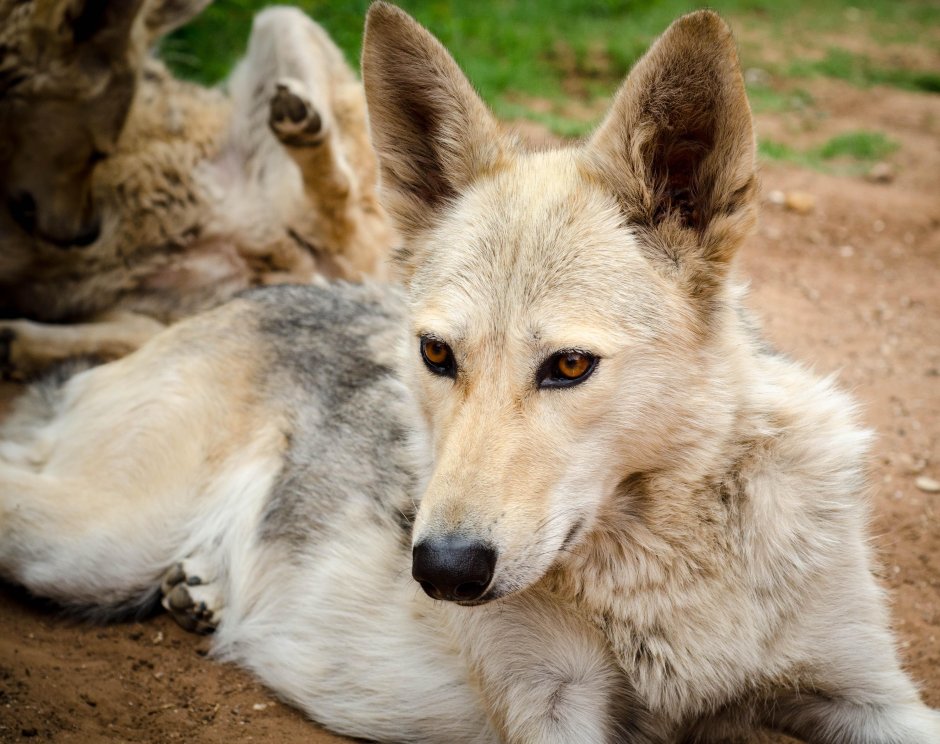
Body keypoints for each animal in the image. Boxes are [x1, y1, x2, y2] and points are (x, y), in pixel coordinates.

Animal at [0, 1, 393, 378]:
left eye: (99, 152)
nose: (84, 235)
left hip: (282, 21)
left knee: (337, 208)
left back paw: (300, 129)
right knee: (142, 338)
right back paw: (16, 343)